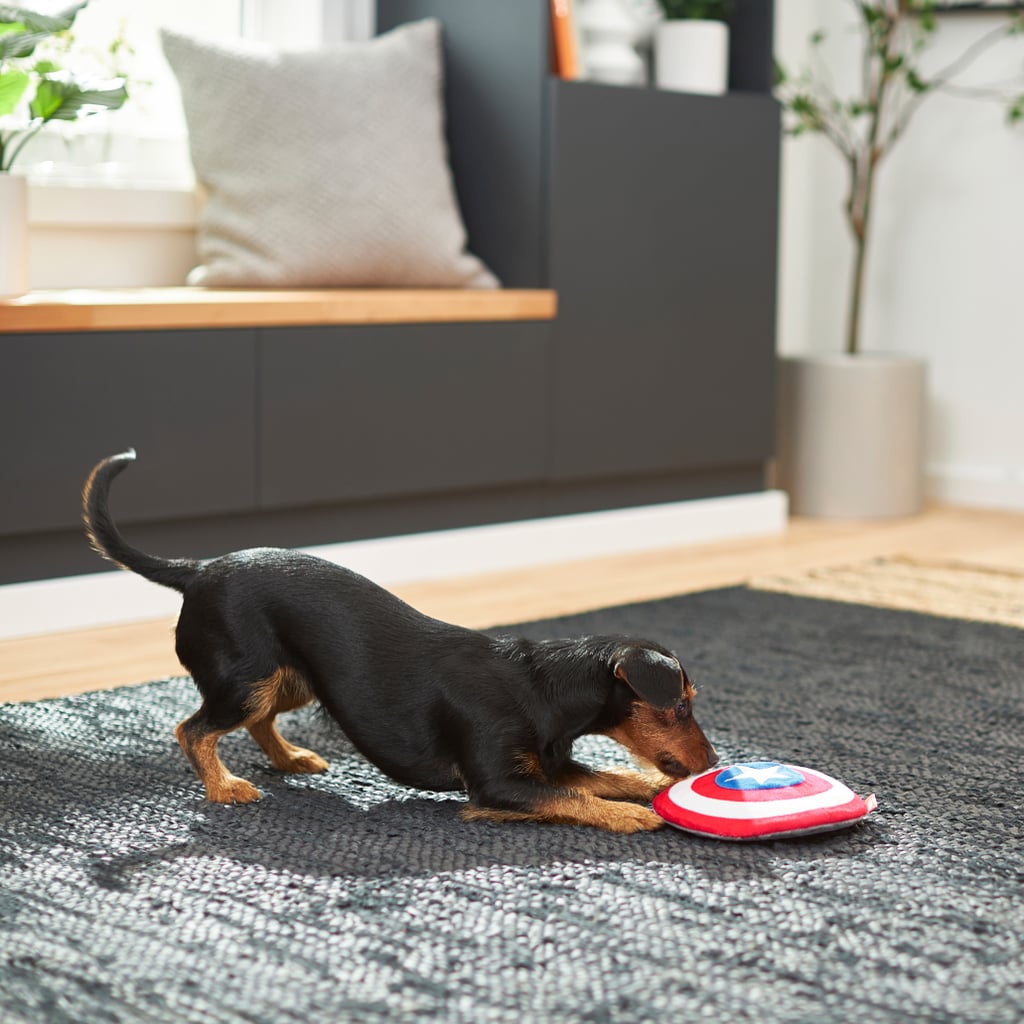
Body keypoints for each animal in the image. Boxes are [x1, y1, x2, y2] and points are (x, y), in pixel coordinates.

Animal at [81, 450, 720, 831]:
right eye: (679, 706)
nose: (715, 763)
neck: (543, 689)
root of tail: (196, 569)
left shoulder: (549, 764)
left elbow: (609, 776)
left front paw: (643, 788)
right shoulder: (496, 785)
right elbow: (576, 799)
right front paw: (631, 815)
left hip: (294, 680)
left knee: (257, 723)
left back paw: (290, 758)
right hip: (245, 680)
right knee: (192, 730)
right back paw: (225, 788)